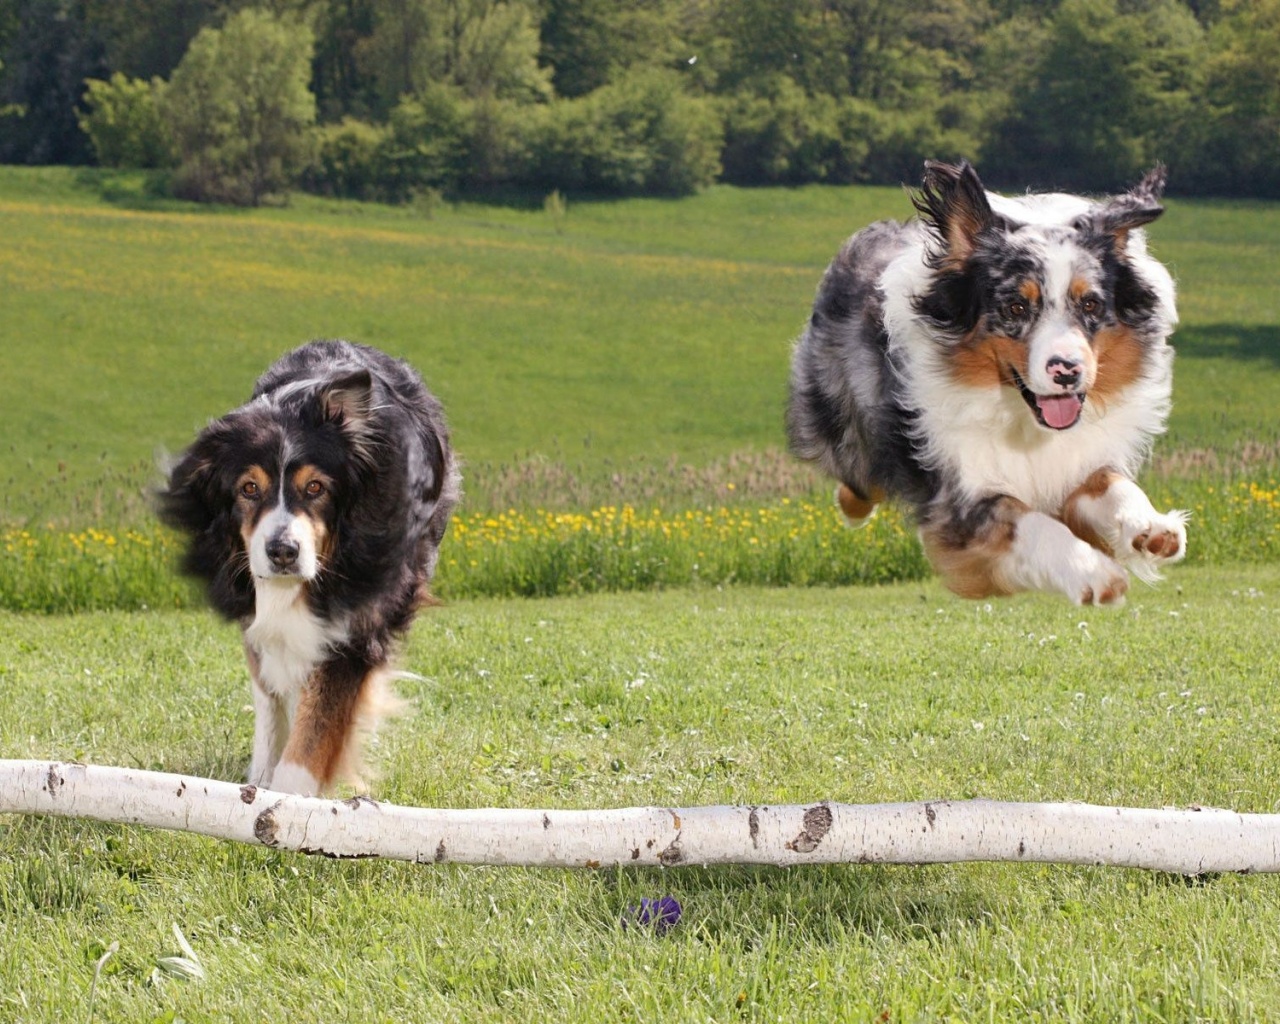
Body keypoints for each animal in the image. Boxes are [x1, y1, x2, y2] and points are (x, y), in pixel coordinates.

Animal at [162, 340, 458, 793]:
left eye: (315, 487)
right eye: (249, 488)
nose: (283, 551)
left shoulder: (359, 621)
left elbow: (318, 721)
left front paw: (288, 798)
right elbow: (270, 690)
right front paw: (260, 781)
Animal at [788, 163, 1187, 604]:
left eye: (1091, 304)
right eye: (1015, 307)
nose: (1067, 371)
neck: (1022, 418)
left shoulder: (1076, 462)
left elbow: (1112, 484)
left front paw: (1150, 527)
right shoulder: (962, 498)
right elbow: (1030, 522)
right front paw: (1094, 572)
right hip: (846, 428)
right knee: (860, 482)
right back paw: (852, 508)